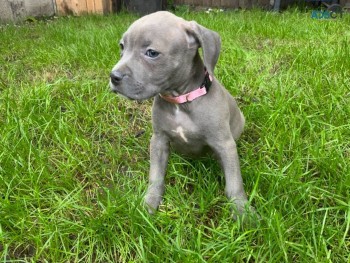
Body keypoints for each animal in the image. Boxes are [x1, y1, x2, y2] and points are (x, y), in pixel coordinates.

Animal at [109, 11, 254, 220]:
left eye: (152, 53)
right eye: (122, 46)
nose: (114, 76)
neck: (180, 101)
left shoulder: (224, 144)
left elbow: (234, 182)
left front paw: (243, 211)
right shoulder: (159, 140)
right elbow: (155, 177)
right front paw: (149, 203)